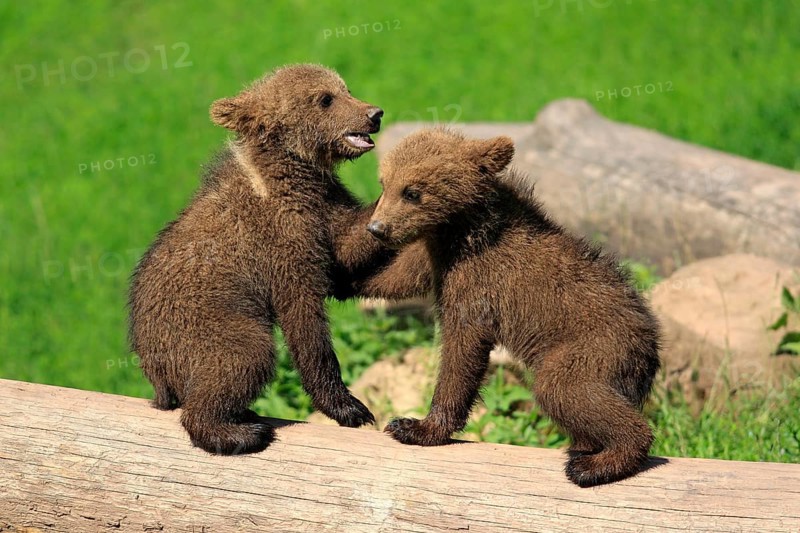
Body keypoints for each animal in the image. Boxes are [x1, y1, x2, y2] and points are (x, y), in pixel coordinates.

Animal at [128, 64, 429, 455]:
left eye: (345, 88)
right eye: (325, 98)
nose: (374, 113)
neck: (294, 172)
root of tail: (154, 369)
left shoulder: (323, 206)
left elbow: (347, 248)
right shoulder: (282, 242)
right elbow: (305, 318)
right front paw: (350, 407)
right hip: (205, 324)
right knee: (241, 357)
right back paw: (240, 432)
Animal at [366, 128, 661, 487]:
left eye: (412, 192)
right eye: (384, 183)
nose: (377, 228)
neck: (461, 230)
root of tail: (650, 344)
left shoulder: (477, 282)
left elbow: (461, 351)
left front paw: (414, 426)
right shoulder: (437, 254)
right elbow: (402, 276)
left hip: (593, 348)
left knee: (565, 389)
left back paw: (596, 464)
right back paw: (585, 448)